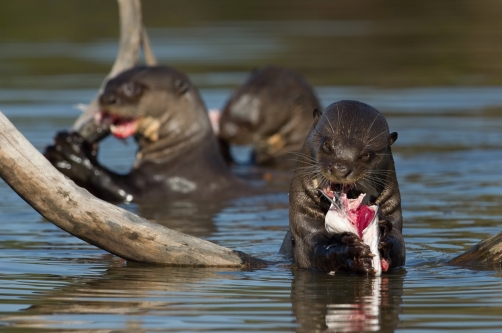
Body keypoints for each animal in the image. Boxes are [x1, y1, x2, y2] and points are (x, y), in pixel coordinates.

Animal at [44, 63, 244, 201]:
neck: (180, 156)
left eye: (132, 88)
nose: (106, 98)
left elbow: (119, 187)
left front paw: (72, 153)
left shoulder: (167, 185)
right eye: (107, 84)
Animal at [282, 100, 404, 274]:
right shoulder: (303, 225)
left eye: (365, 155)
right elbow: (316, 249)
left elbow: (400, 245)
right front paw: (353, 254)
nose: (340, 168)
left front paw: (385, 238)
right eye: (327, 145)